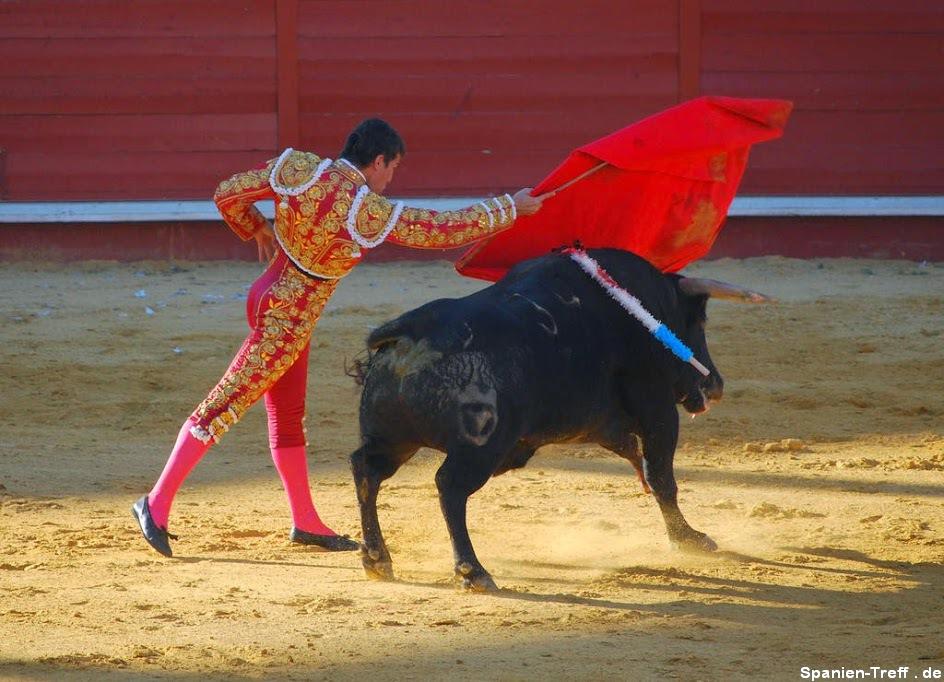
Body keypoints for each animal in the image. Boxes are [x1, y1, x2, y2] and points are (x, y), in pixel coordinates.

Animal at [350, 246, 772, 588]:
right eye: (698, 322)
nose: (715, 386)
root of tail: (410, 332)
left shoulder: (607, 424)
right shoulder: (657, 409)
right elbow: (662, 478)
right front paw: (689, 539)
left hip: (393, 439)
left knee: (367, 470)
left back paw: (377, 558)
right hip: (480, 448)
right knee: (450, 488)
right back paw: (473, 571)